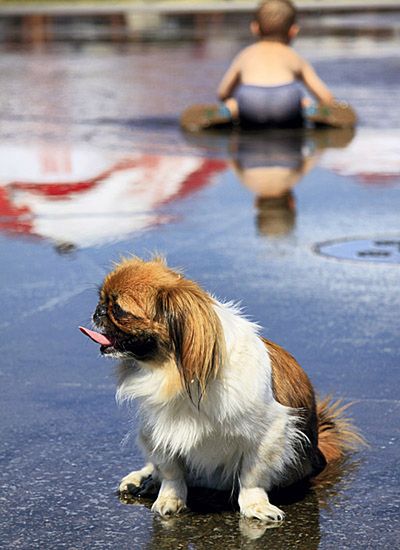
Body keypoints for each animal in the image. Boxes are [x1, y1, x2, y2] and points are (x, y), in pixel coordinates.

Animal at [79, 256, 360, 524]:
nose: (98, 310)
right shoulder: (158, 431)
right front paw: (169, 499)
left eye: (118, 309)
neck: (177, 372)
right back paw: (142, 480)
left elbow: (251, 476)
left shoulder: (269, 433)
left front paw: (255, 506)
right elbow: (171, 473)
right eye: (102, 300)